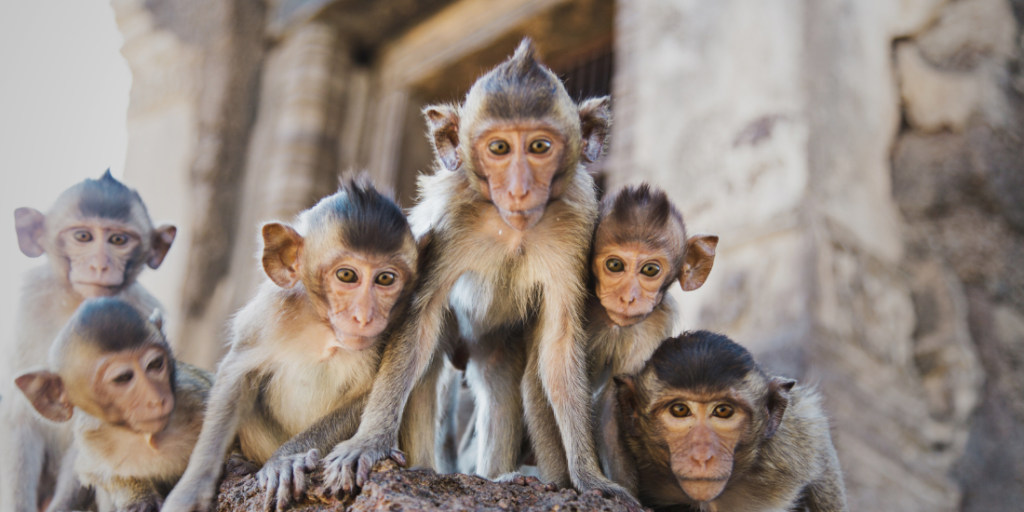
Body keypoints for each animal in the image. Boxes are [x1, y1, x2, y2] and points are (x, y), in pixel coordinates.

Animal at [14, 298, 212, 512]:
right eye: (123, 378)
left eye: (155, 364)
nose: (156, 399)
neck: (145, 437)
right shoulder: (91, 439)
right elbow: (94, 473)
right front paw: (139, 497)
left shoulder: (196, 396)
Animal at [162, 178, 420, 512]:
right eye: (347, 275)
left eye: (386, 279)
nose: (364, 316)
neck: (324, 330)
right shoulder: (268, 314)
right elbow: (236, 376)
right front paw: (191, 490)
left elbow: (370, 393)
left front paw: (283, 460)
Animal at [319, 39, 639, 508]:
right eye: (500, 148)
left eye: (539, 146)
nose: (520, 189)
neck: (513, 228)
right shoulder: (452, 219)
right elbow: (420, 320)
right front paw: (368, 443)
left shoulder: (576, 228)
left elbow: (560, 344)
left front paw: (589, 476)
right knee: (427, 368)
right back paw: (424, 467)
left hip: (493, 344)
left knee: (502, 385)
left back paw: (502, 476)